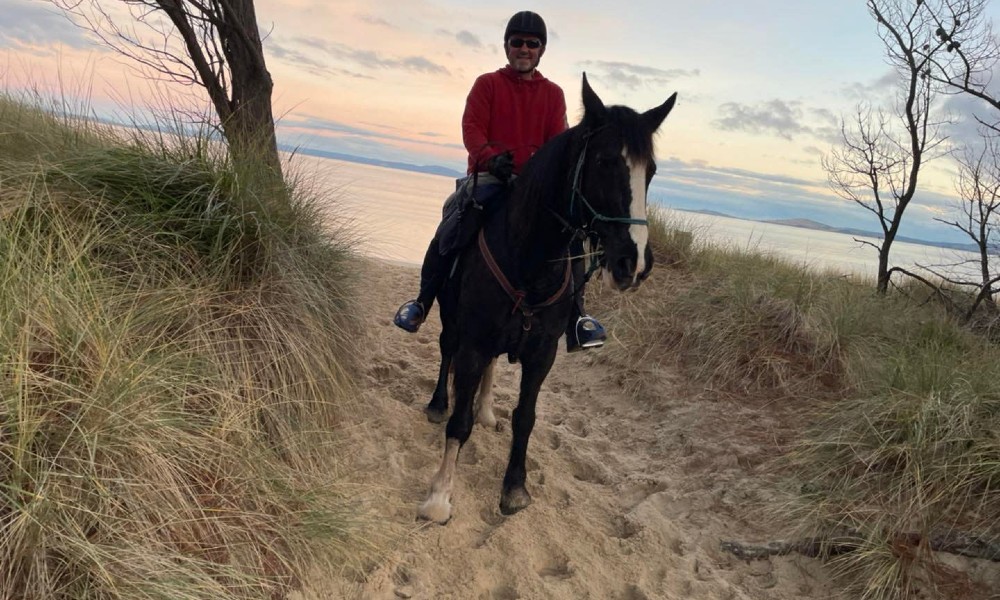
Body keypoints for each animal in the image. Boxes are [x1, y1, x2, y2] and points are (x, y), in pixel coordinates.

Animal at [418, 76, 676, 524]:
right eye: (605, 161)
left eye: (652, 171)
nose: (635, 263)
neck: (530, 263)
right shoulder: (473, 343)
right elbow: (458, 422)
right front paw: (440, 495)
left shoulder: (542, 354)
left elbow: (525, 418)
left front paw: (514, 488)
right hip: (452, 319)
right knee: (446, 350)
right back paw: (437, 402)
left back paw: (487, 411)